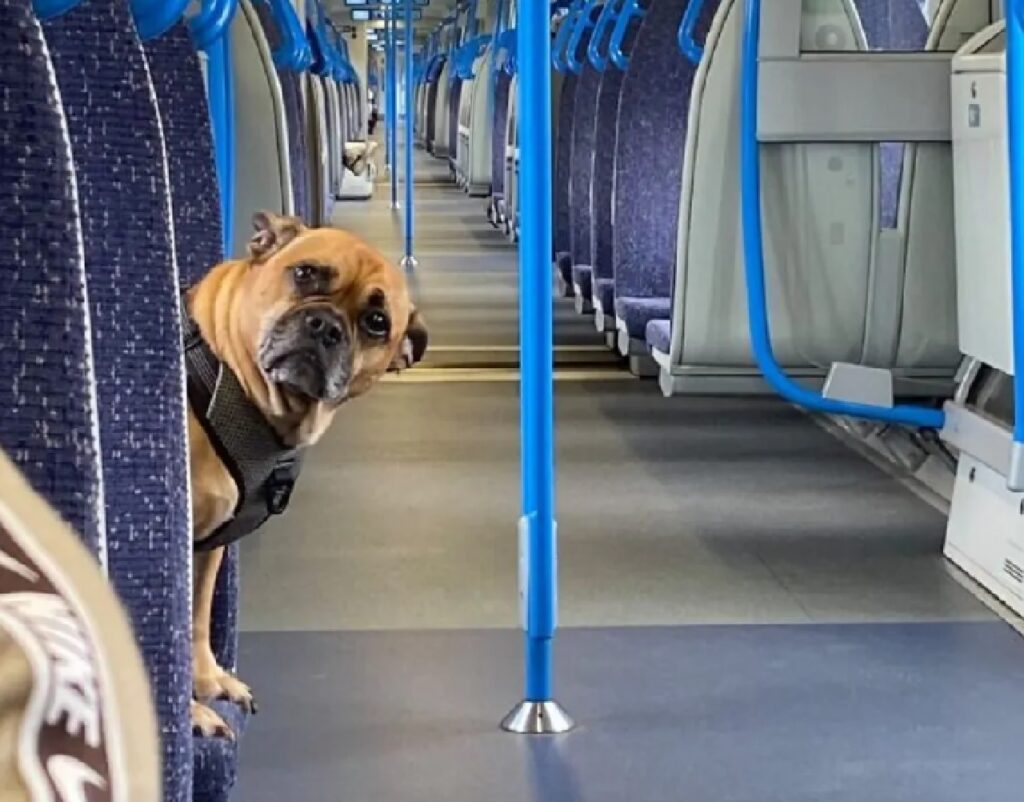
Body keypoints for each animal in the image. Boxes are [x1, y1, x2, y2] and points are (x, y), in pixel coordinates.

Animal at [186, 209, 425, 737]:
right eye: (305, 274)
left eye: (377, 322)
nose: (324, 325)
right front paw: (188, 712)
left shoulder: (207, 548)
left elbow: (195, 613)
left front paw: (206, 681)